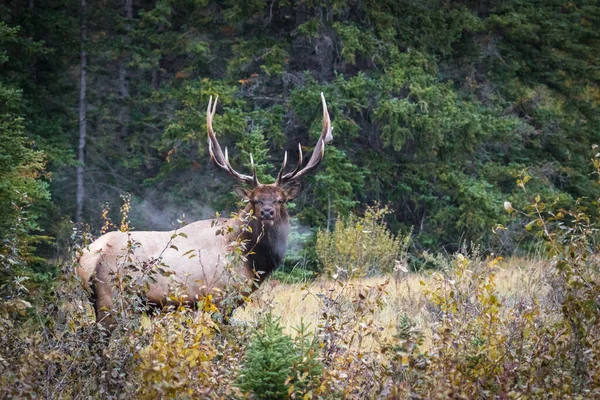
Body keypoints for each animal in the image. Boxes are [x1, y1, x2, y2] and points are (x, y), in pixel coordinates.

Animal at [76, 93, 332, 332]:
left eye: (280, 200)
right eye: (254, 200)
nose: (267, 212)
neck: (251, 260)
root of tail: (86, 258)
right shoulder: (219, 298)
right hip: (113, 298)